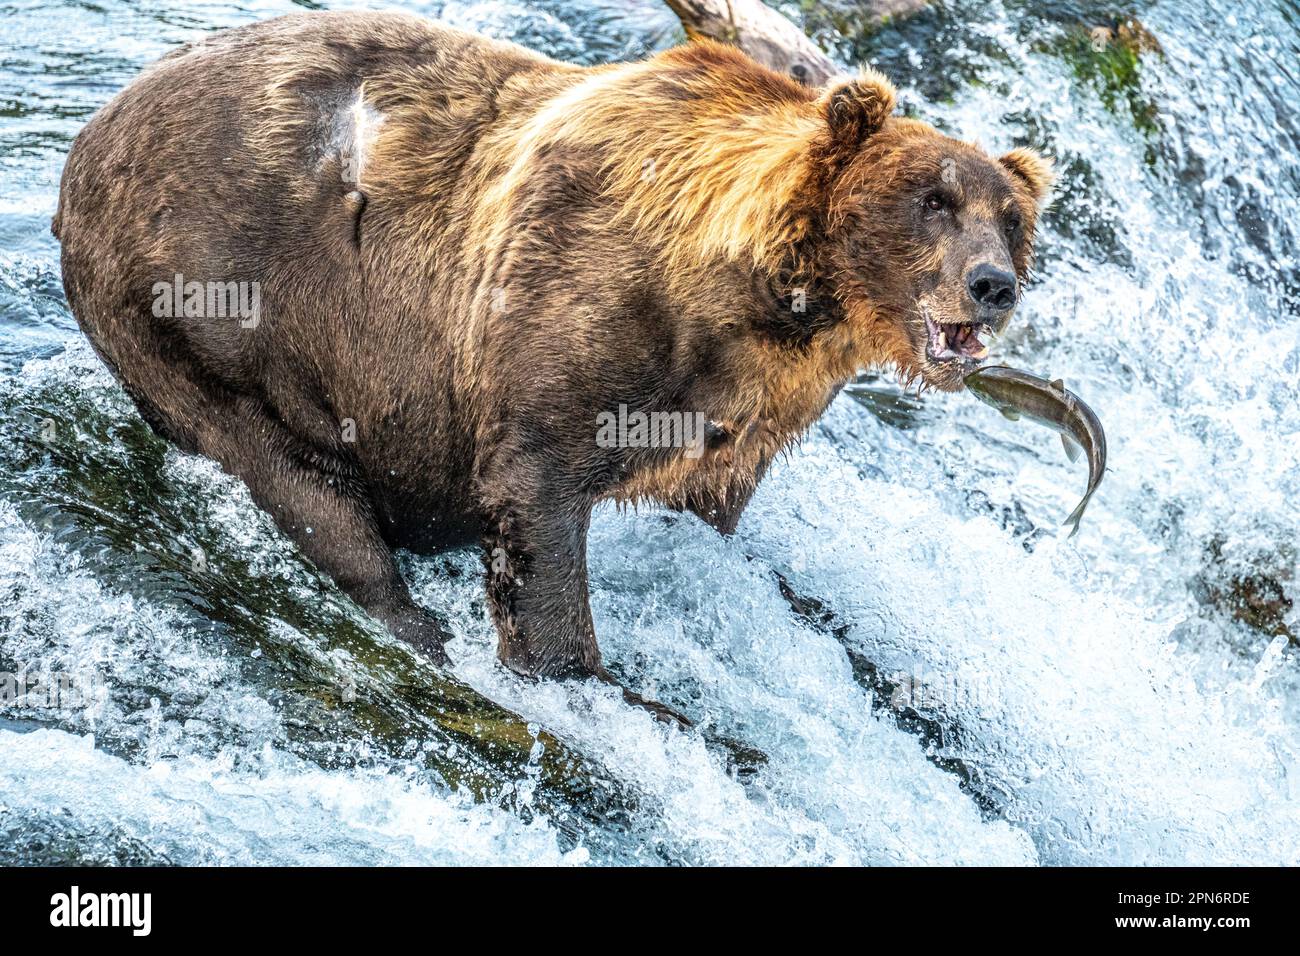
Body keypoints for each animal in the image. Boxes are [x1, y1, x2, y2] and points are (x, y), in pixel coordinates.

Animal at [53, 9, 1045, 723]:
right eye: (932, 199)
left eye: (1009, 217)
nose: (993, 284)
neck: (754, 307)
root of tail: (87, 145)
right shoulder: (564, 311)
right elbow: (537, 497)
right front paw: (586, 675)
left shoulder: (749, 418)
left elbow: (707, 505)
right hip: (211, 315)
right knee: (298, 479)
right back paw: (413, 622)